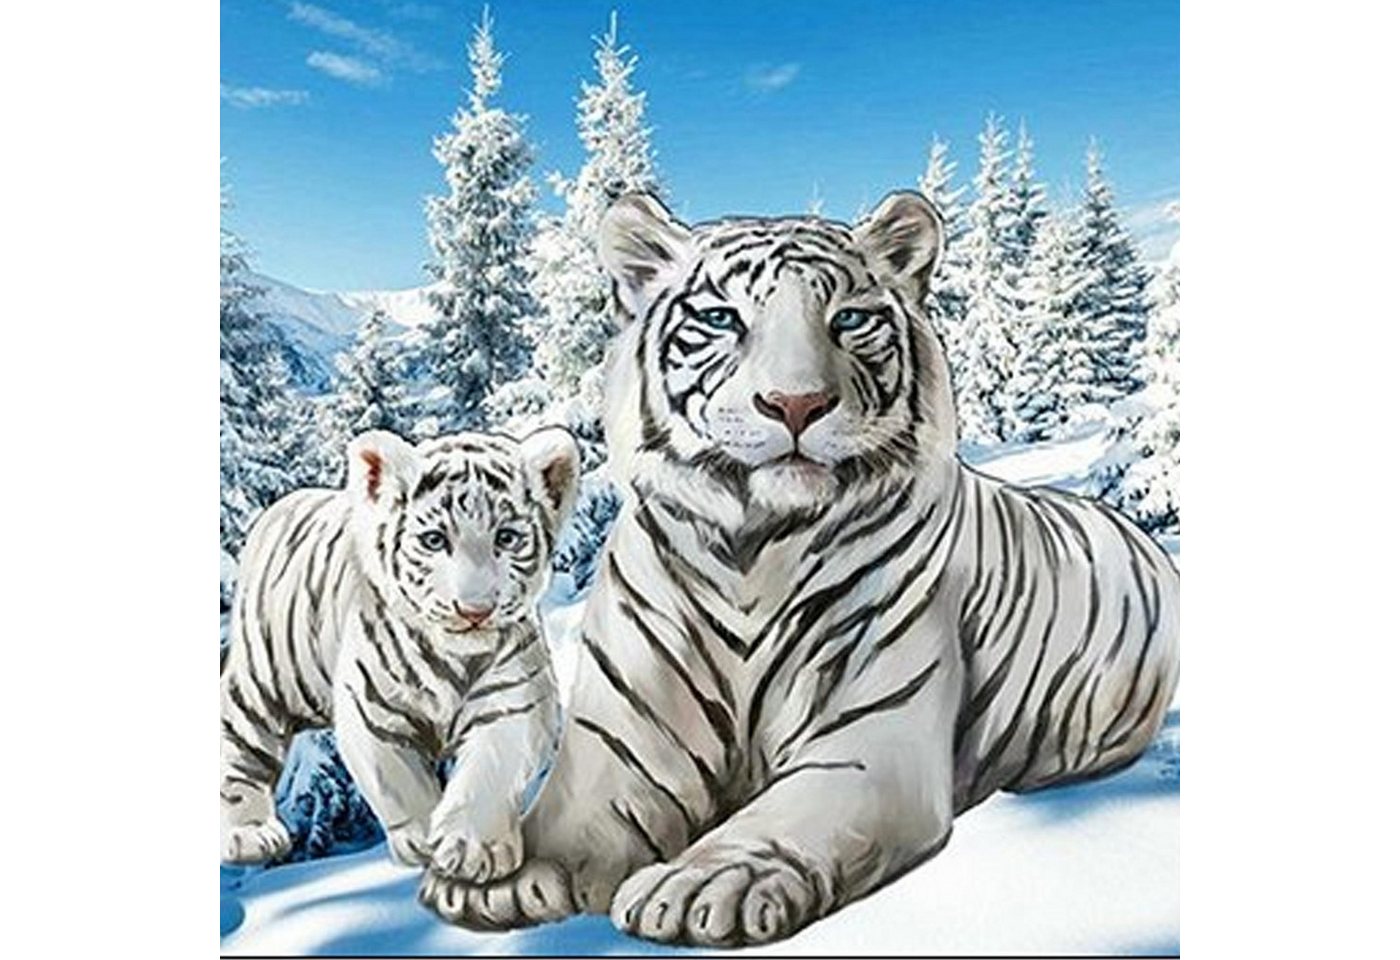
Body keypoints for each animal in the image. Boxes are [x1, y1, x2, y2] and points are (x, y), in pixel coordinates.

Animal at [219, 426, 579, 884]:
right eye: (434, 540)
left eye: (506, 538)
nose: (475, 611)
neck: (455, 658)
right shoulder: (373, 710)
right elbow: (400, 782)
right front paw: (424, 844)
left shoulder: (514, 701)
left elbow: (490, 774)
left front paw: (473, 850)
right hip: (265, 676)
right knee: (240, 736)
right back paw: (248, 834)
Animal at [417, 191, 1180, 948]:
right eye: (721, 318)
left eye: (848, 319)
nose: (796, 404)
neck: (751, 552)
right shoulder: (625, 739)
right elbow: (569, 816)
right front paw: (497, 873)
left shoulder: (868, 740)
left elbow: (781, 817)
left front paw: (703, 884)